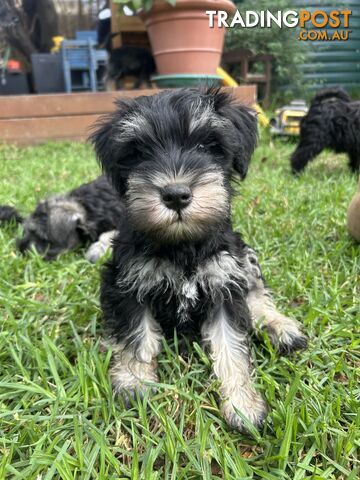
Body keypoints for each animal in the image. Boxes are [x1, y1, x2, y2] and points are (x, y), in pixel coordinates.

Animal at [90, 87, 306, 432]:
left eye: (207, 145)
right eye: (139, 152)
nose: (176, 195)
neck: (182, 244)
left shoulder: (224, 286)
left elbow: (231, 346)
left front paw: (242, 405)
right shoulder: (127, 282)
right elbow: (137, 336)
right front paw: (135, 381)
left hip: (244, 256)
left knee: (256, 294)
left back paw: (279, 327)